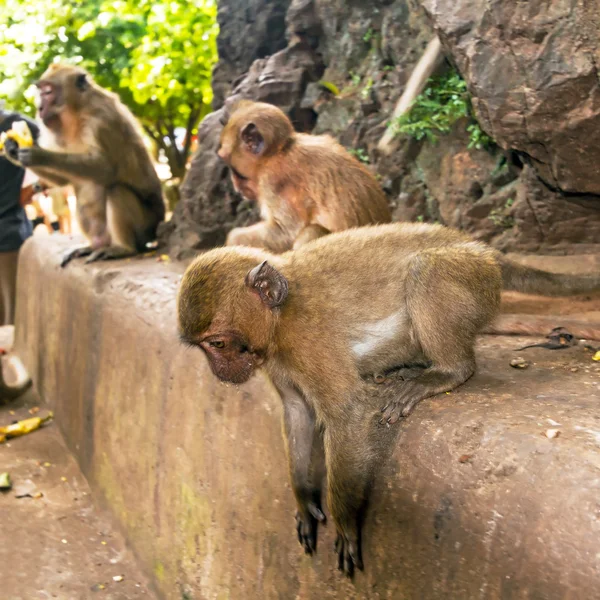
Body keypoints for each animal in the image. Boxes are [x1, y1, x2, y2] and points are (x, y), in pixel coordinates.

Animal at [2, 62, 164, 266]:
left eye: (48, 92)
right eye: (40, 91)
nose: (39, 107)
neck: (76, 113)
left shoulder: (102, 121)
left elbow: (106, 170)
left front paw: (38, 154)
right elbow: (62, 180)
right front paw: (13, 149)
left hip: (146, 227)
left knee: (117, 190)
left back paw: (123, 248)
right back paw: (91, 247)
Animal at [177, 221, 600, 576]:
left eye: (217, 344)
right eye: (205, 348)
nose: (219, 371)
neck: (281, 315)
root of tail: (485, 250)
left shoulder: (306, 339)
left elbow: (346, 412)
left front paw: (346, 522)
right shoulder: (278, 359)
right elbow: (298, 412)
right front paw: (304, 498)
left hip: (473, 277)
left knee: (426, 271)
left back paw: (447, 370)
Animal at [218, 101, 392, 251]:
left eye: (233, 169)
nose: (235, 185)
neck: (279, 151)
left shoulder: (274, 183)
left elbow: (286, 232)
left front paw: (233, 240)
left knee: (311, 230)